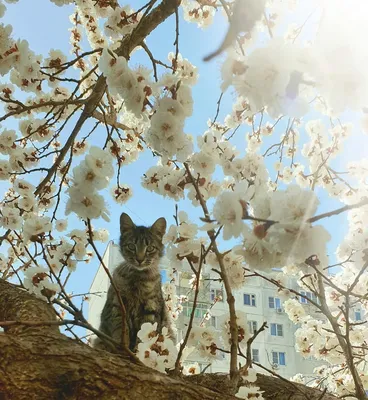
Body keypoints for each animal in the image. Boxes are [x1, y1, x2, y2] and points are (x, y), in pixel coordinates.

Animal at [93, 212, 174, 350]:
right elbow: (121, 331)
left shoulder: (150, 309)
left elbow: (143, 337)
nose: (140, 259)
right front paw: (123, 348)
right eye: (131, 246)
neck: (138, 278)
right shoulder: (117, 305)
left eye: (150, 248)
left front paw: (136, 351)